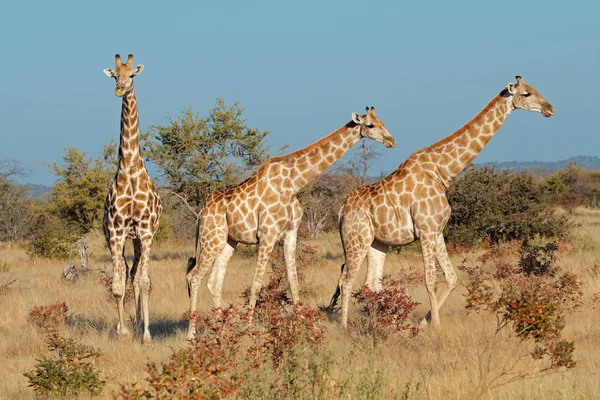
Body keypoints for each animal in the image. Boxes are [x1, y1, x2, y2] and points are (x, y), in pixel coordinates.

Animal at [185, 106, 396, 338]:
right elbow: (256, 284)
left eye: (383, 122)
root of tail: (201, 213)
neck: (293, 183)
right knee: (194, 276)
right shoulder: (267, 235)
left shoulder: (290, 233)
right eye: (370, 125)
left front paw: (305, 326)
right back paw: (192, 334)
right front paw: (249, 330)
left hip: (227, 241)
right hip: (211, 238)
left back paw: (221, 330)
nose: (391, 140)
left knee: (214, 281)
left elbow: (293, 282)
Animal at [326, 76, 556, 330]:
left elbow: (452, 277)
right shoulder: (426, 231)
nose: (549, 108)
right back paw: (345, 326)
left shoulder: (437, 231)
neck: (442, 171)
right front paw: (435, 327)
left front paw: (424, 323)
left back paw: (385, 323)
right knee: (347, 281)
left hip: (378, 243)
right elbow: (430, 281)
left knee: (371, 282)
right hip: (356, 240)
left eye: (535, 89)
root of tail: (341, 210)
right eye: (526, 94)